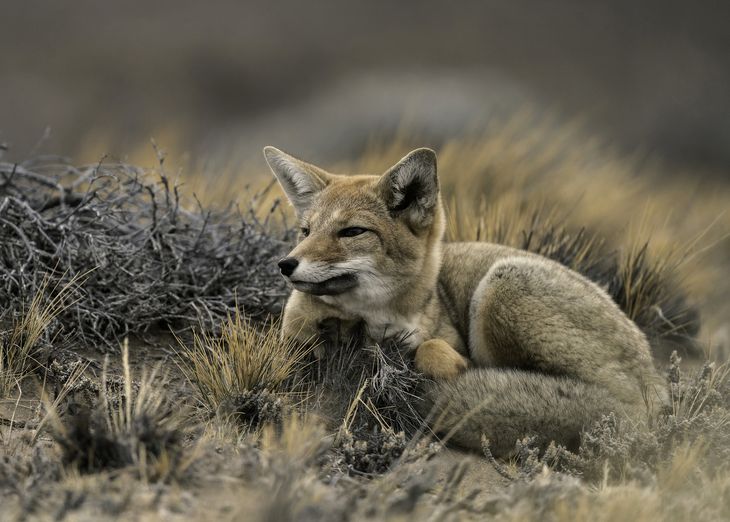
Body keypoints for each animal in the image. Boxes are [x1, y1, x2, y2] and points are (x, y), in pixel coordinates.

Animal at [262, 144, 664, 452]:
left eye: (351, 232)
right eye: (306, 231)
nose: (285, 264)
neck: (376, 324)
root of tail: (651, 379)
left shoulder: (443, 339)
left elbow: (432, 350)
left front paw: (454, 369)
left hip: (500, 285)